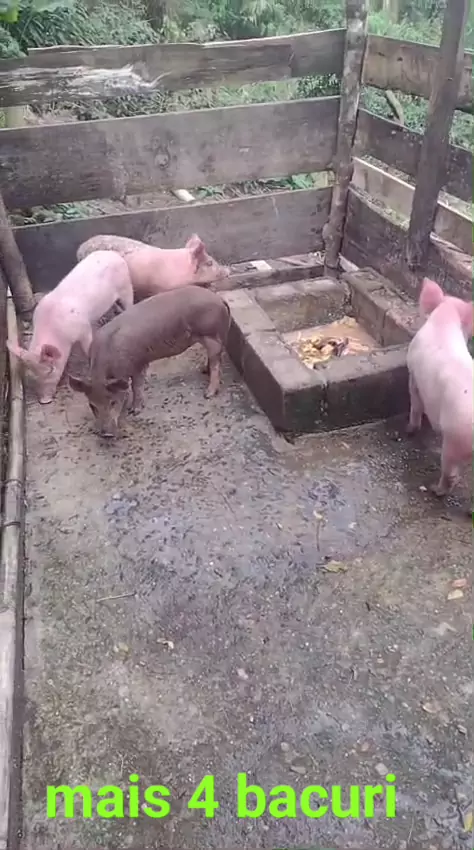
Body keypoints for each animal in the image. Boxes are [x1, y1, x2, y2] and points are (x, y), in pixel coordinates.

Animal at [7, 250, 133, 404]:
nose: (44, 400)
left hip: (126, 286)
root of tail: (112, 253)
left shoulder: (84, 329)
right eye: (32, 373)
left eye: (50, 369)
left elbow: (88, 347)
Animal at [68, 285, 231, 438]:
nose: (106, 434)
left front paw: (135, 410)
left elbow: (137, 386)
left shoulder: (139, 363)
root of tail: (219, 299)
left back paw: (208, 394)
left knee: (216, 362)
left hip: (211, 335)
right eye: (92, 405)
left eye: (113, 402)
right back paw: (203, 370)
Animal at [406, 277, 473, 498]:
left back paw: (436, 490)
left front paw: (410, 431)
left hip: (454, 437)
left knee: (450, 472)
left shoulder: (413, 373)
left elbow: (415, 403)